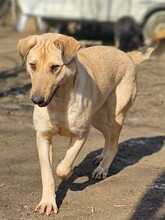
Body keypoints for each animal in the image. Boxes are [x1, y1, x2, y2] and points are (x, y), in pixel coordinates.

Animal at [17, 33, 153, 215]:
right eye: (32, 65)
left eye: (55, 67)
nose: (36, 100)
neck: (60, 102)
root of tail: (127, 55)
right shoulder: (43, 137)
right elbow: (47, 174)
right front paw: (47, 202)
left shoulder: (81, 135)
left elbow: (62, 168)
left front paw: (69, 173)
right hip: (98, 119)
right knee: (108, 138)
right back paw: (101, 156)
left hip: (115, 116)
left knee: (114, 144)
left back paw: (102, 168)